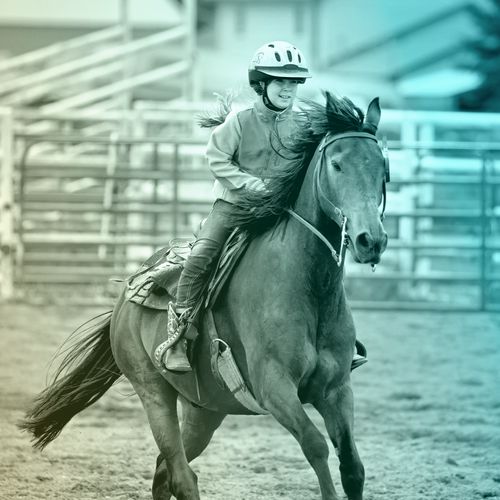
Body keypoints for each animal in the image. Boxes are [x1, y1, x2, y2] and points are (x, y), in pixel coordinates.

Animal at [21, 94, 390, 500]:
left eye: (383, 169)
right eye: (337, 165)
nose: (370, 240)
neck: (309, 289)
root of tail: (125, 295)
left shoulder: (336, 389)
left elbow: (352, 466)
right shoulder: (275, 387)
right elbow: (315, 445)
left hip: (205, 408)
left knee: (164, 471)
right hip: (153, 393)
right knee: (180, 473)